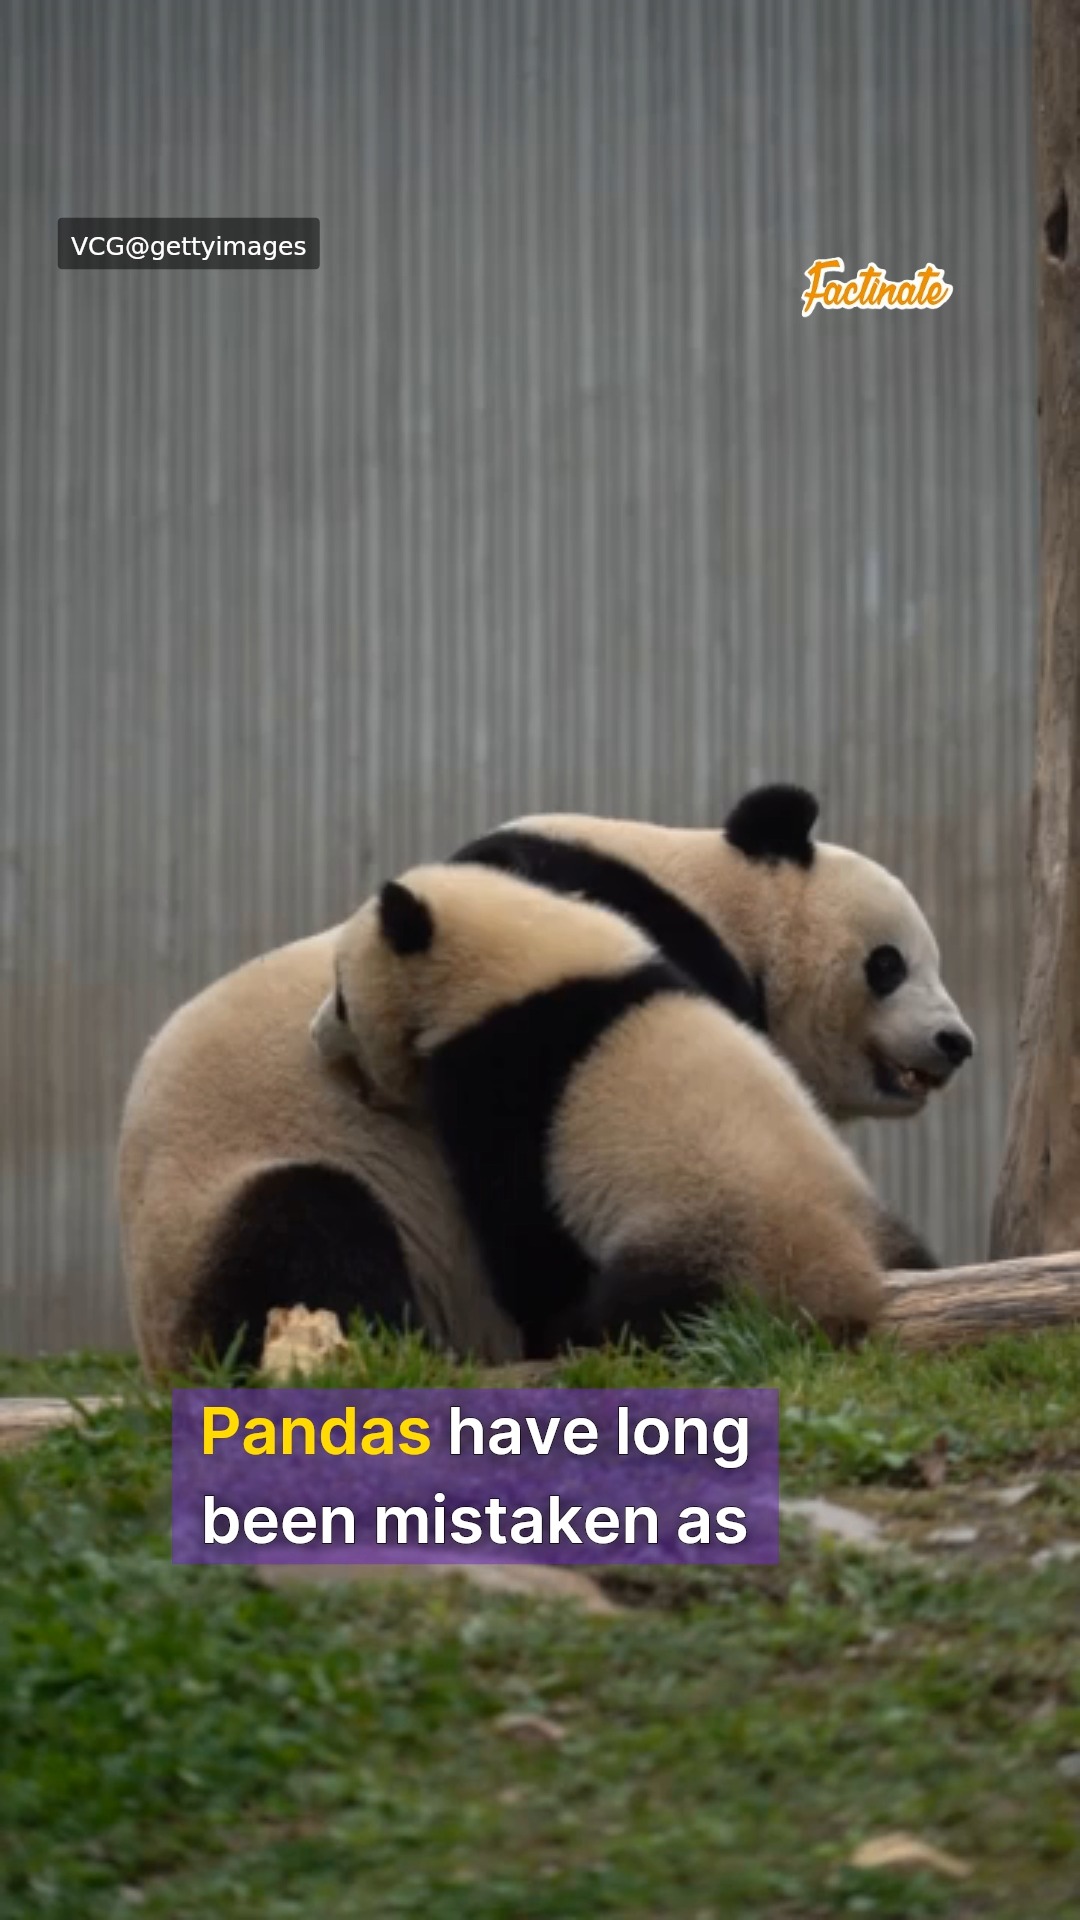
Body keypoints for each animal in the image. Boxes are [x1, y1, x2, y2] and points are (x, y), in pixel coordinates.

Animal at [318, 861, 899, 1353]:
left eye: (343, 995)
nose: (314, 1034)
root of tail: (843, 1289)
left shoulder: (504, 1064)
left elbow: (519, 1218)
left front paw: (539, 1323)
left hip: (710, 1241)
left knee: (648, 1312)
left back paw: (582, 1331)